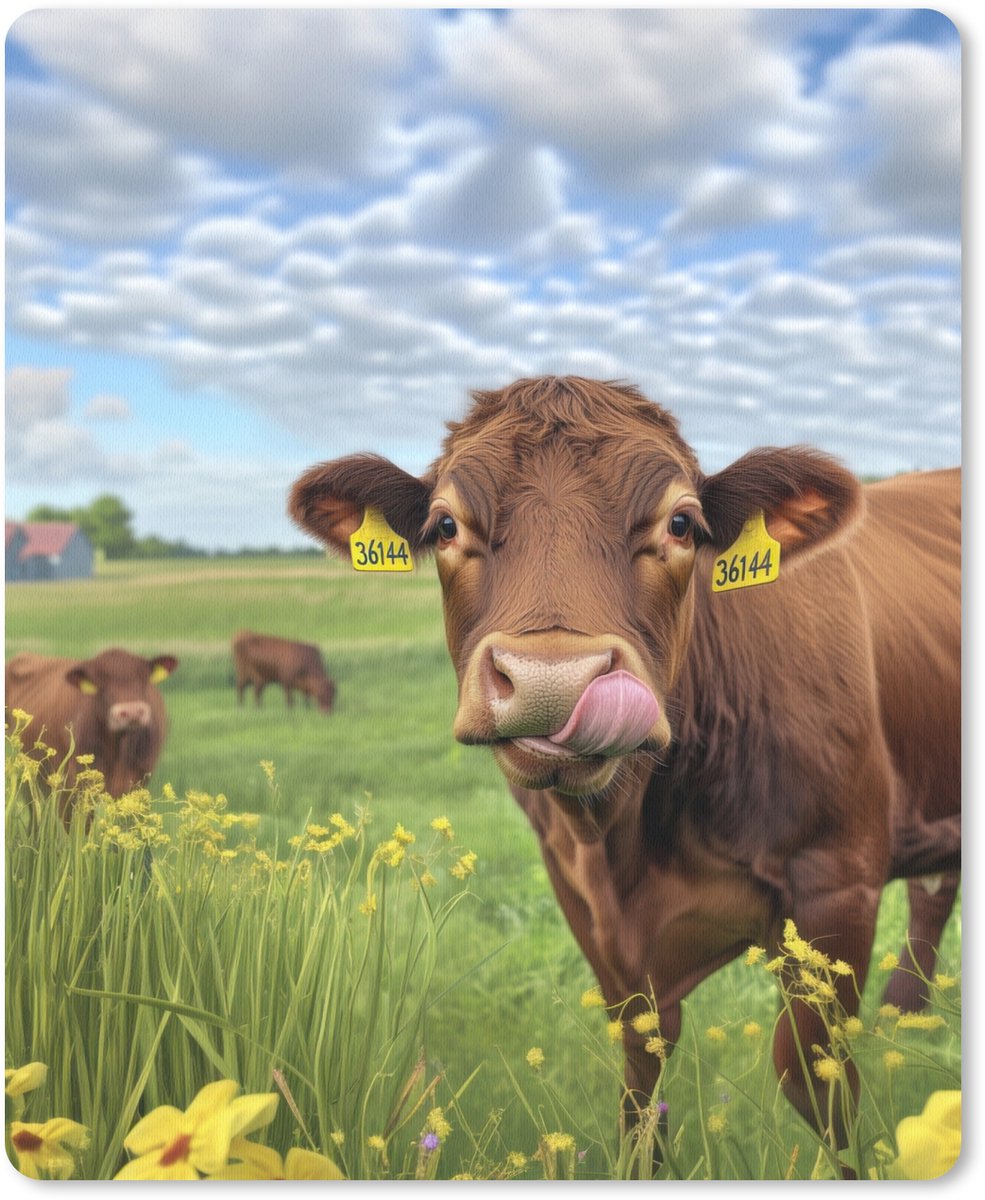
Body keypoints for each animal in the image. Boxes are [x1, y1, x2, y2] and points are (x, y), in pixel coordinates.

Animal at [288, 375, 960, 1145]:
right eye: (446, 525)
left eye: (682, 524)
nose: (553, 681)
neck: (630, 833)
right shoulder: (585, 903)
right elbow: (641, 1075)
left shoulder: (837, 880)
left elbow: (814, 1077)